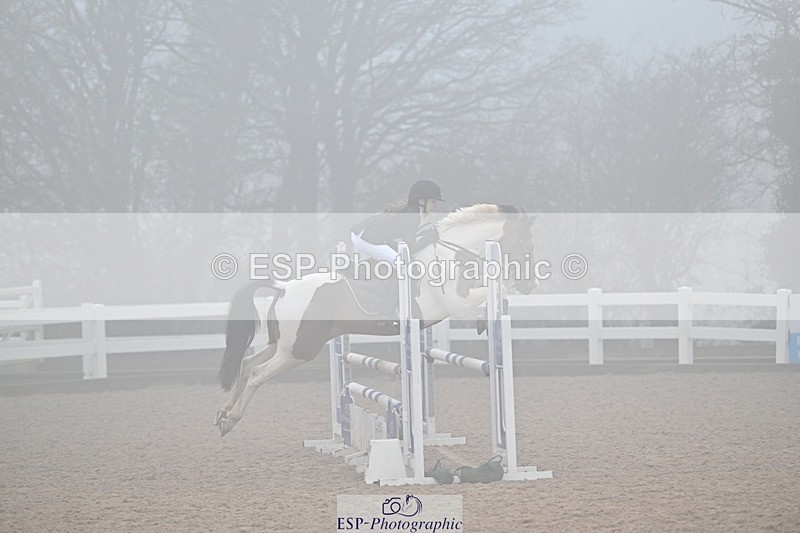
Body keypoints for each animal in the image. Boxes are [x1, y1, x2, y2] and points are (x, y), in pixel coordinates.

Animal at [213, 203, 538, 436]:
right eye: (526, 242)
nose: (530, 286)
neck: (449, 255)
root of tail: (282, 288)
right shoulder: (453, 304)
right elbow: (497, 290)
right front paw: (484, 323)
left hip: (282, 344)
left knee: (247, 363)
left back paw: (222, 413)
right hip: (298, 350)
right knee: (258, 373)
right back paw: (231, 420)